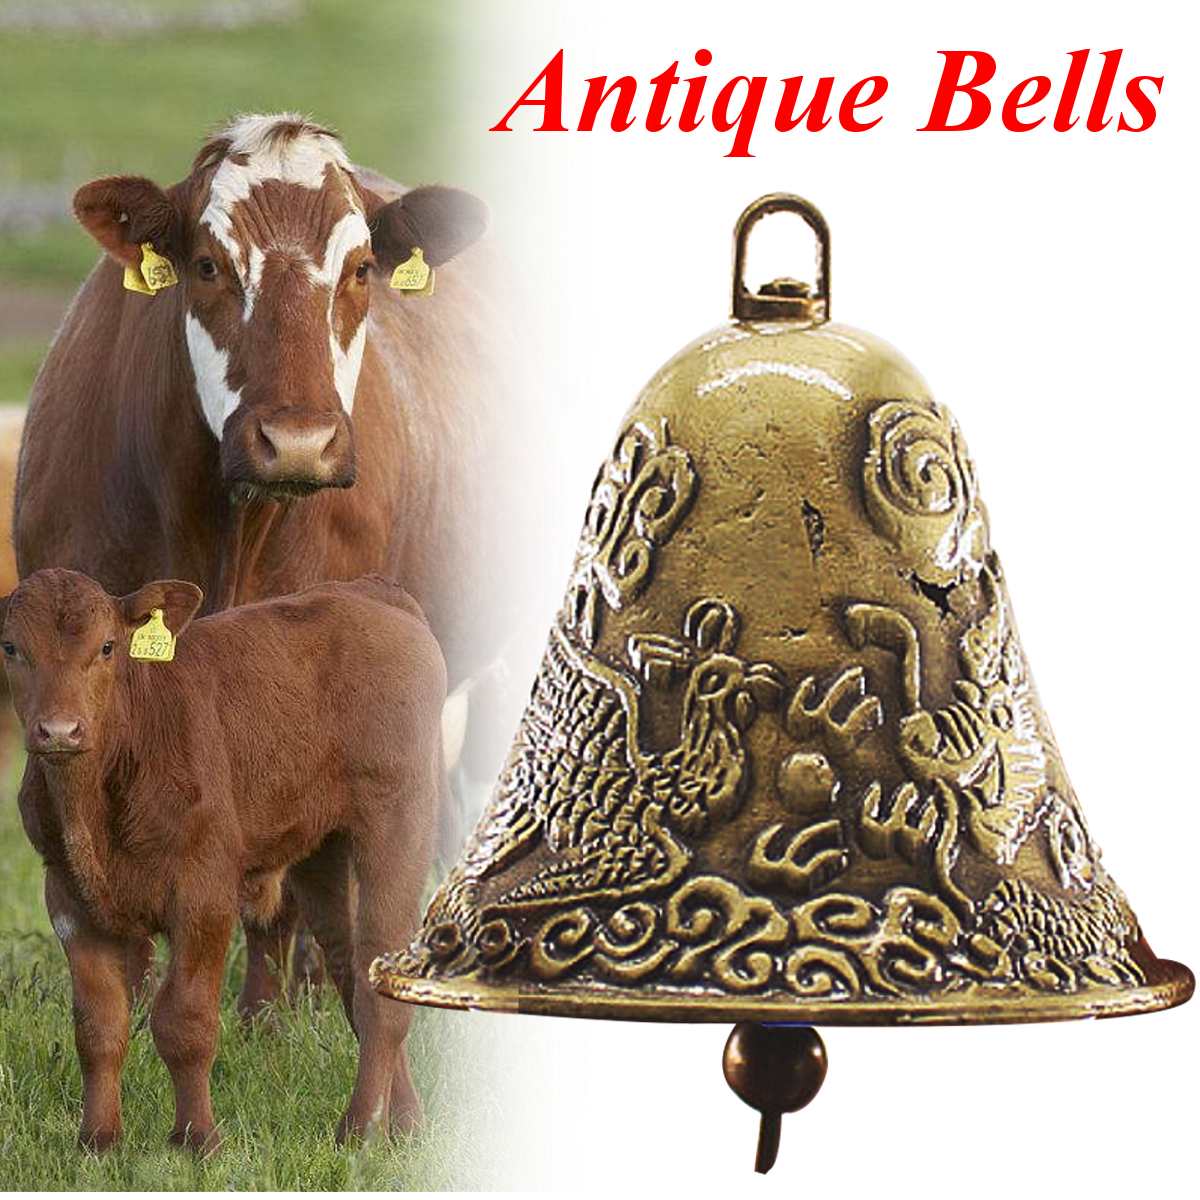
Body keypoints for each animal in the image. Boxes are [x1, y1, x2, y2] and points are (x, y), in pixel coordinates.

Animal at [2, 567, 445, 1150]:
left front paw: (197, 1140)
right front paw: (97, 1142)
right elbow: (98, 1026)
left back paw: (358, 1130)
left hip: (399, 815)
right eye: (10, 647)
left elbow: (184, 1021)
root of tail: (370, 592)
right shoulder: (70, 899)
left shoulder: (204, 891)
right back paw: (407, 1123)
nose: (59, 730)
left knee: (380, 980)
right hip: (322, 849)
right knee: (352, 969)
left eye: (107, 646)